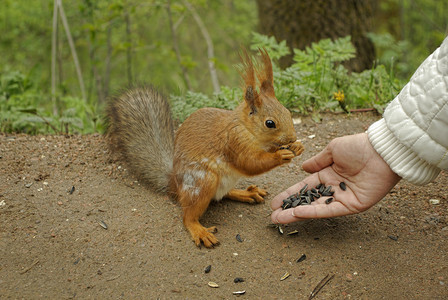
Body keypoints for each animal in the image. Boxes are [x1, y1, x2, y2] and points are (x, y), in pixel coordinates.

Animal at [107, 49, 304, 247]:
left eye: (287, 112)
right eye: (270, 123)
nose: (292, 137)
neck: (246, 128)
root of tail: (175, 185)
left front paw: (297, 147)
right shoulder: (234, 142)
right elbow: (250, 163)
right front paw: (280, 155)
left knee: (222, 195)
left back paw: (247, 193)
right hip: (202, 182)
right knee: (188, 216)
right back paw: (199, 230)